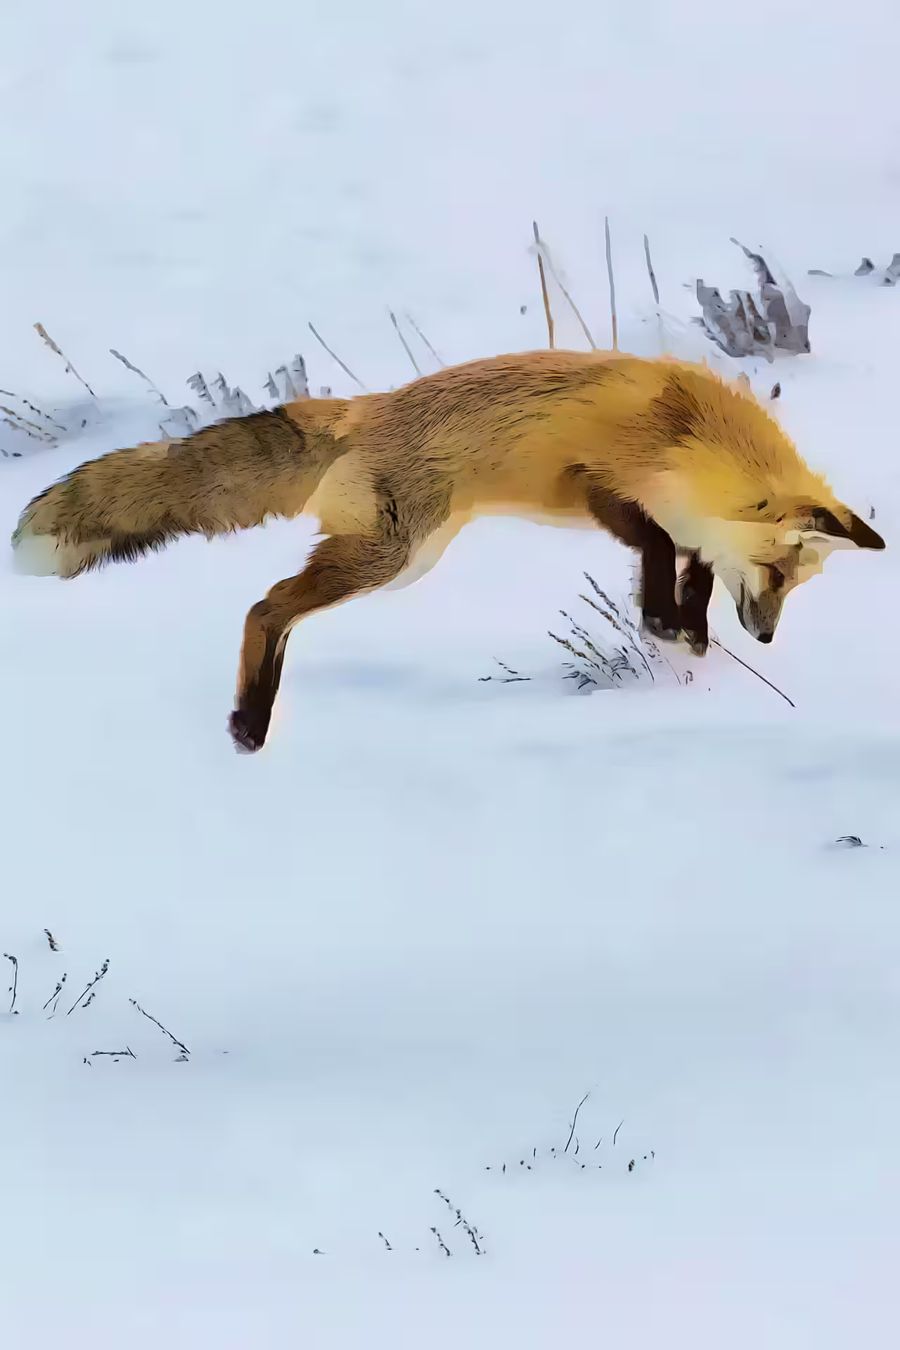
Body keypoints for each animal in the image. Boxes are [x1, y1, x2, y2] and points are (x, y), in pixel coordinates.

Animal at [12, 349, 884, 752]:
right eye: (778, 573)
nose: (764, 637)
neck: (688, 436)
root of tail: (364, 409)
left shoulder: (684, 524)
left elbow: (690, 572)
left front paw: (686, 631)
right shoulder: (596, 482)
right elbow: (657, 548)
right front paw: (668, 623)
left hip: (402, 559)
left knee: (276, 609)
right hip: (394, 557)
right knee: (265, 608)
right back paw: (249, 722)